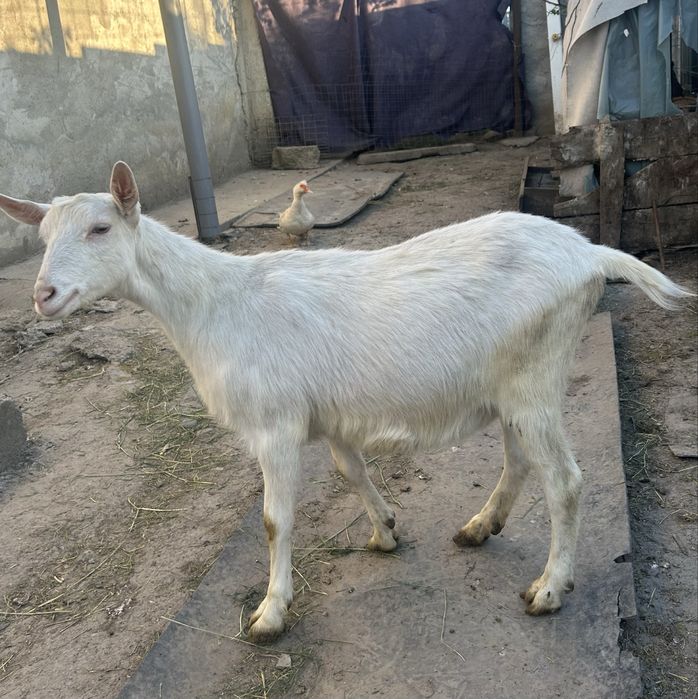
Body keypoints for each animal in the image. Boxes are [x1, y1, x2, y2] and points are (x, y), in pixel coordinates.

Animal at [0, 162, 692, 642]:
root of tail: (590, 252)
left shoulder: (275, 426)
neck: (214, 305)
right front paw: (385, 531)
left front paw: (270, 614)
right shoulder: (326, 415)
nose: (43, 295)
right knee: (521, 462)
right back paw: (479, 527)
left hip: (536, 378)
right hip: (513, 386)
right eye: (42, 237)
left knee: (566, 481)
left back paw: (549, 588)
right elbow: (349, 469)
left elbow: (275, 519)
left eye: (101, 228)